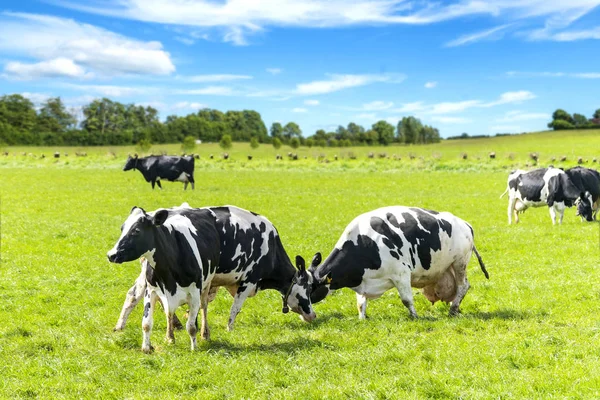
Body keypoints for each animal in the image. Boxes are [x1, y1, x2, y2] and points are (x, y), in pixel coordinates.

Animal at [110, 205, 314, 348]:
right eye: (309, 289)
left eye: (136, 230)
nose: (312, 314)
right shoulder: (248, 280)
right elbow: (234, 309)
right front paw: (229, 329)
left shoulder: (204, 286)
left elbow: (198, 312)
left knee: (137, 295)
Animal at [288, 208, 490, 320]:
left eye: (308, 289)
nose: (295, 308)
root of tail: (464, 223)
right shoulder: (363, 280)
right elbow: (360, 303)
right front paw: (362, 318)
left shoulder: (401, 273)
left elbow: (407, 299)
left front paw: (415, 316)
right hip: (449, 267)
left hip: (460, 262)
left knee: (464, 286)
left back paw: (453, 309)